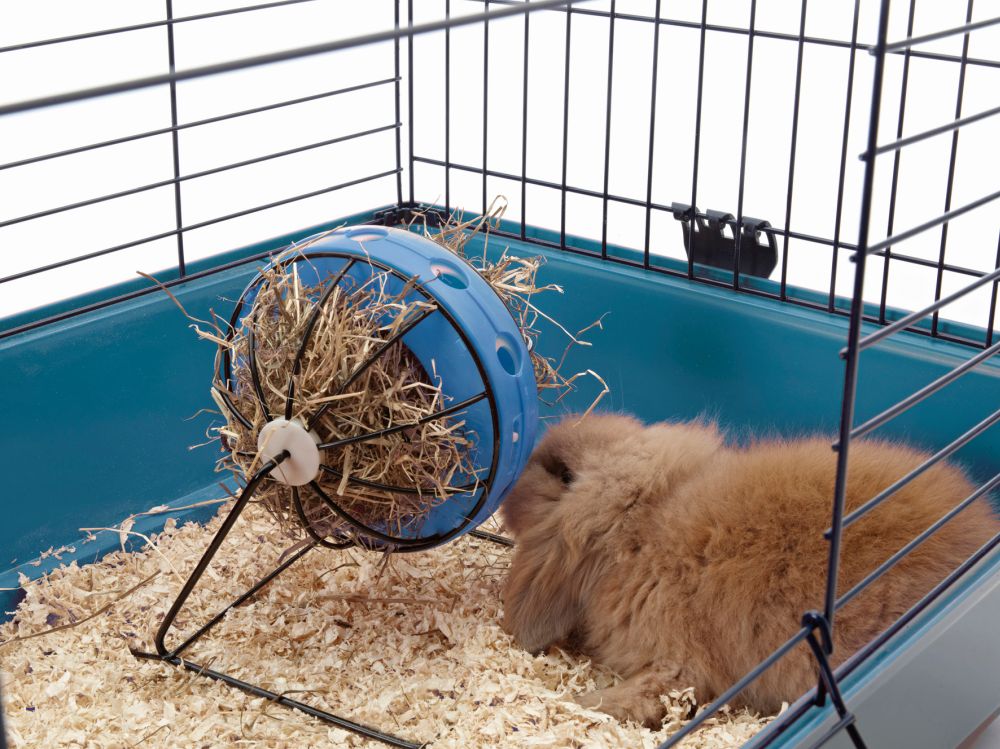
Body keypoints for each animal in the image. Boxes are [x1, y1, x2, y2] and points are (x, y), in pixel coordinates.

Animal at [500, 413, 1000, 728]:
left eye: (563, 473)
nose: (524, 464)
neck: (641, 524)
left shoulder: (678, 665)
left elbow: (646, 694)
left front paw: (578, 703)